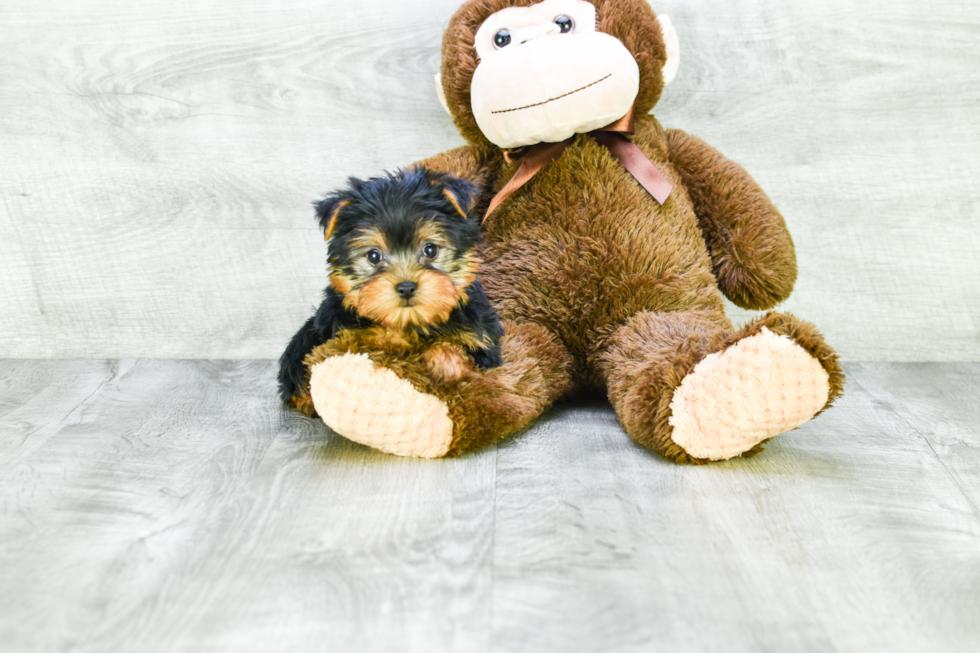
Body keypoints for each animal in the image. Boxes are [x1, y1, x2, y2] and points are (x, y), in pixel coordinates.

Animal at [280, 166, 502, 416]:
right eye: (373, 256)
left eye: (430, 250)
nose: (406, 287)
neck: (409, 322)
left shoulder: (481, 338)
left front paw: (444, 363)